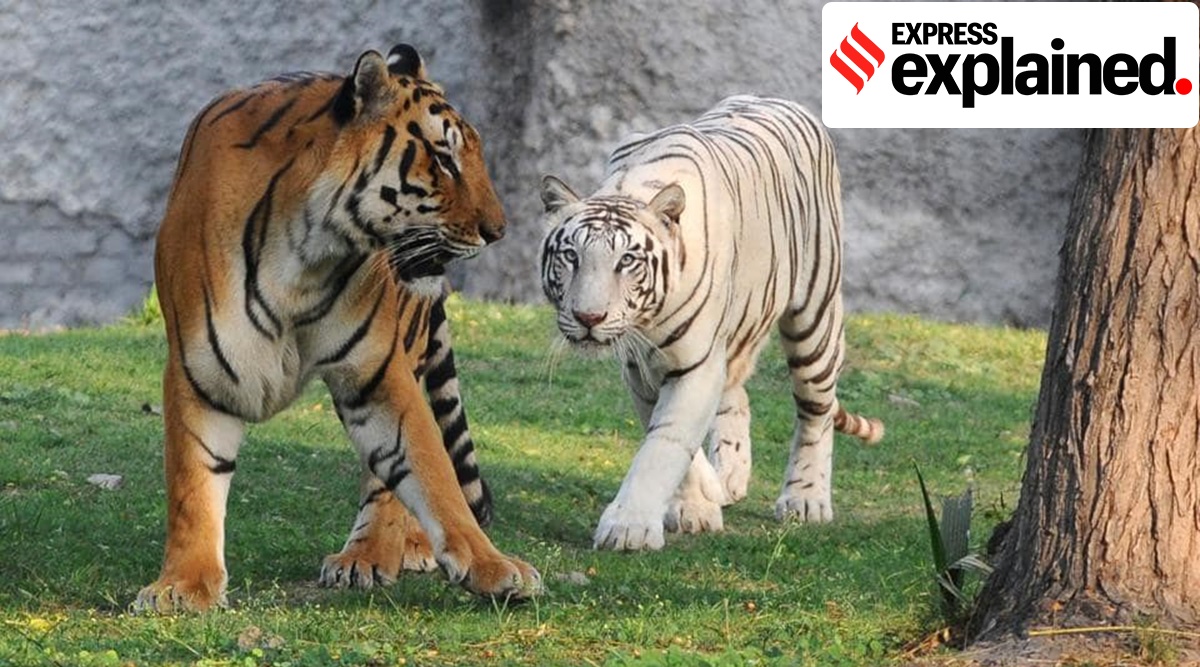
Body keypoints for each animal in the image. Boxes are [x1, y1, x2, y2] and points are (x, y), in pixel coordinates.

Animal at [135, 44, 540, 611]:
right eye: (443, 159)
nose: (498, 231)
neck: (307, 254)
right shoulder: (200, 371)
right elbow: (194, 483)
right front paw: (183, 585)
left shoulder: (376, 372)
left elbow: (431, 473)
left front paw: (495, 567)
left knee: (388, 482)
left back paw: (373, 554)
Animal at [537, 93, 883, 551]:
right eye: (571, 256)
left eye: (626, 260)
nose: (588, 317)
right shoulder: (642, 369)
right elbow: (672, 439)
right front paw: (698, 503)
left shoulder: (694, 363)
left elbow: (665, 443)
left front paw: (629, 528)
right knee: (738, 394)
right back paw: (729, 480)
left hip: (815, 317)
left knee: (816, 412)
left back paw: (806, 500)